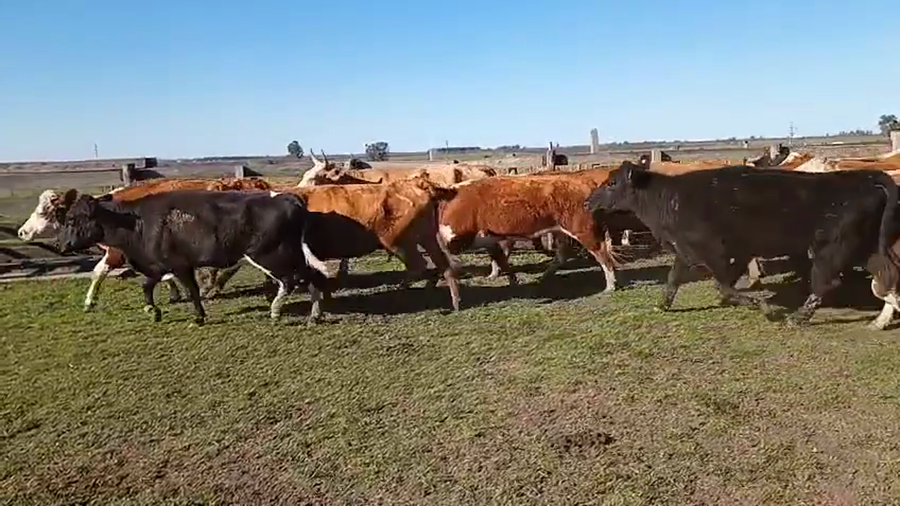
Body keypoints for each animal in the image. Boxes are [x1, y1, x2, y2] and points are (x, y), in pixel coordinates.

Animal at [17, 177, 273, 310]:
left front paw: (89, 301)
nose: (22, 232)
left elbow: (97, 272)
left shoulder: (117, 252)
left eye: (45, 211)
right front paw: (175, 293)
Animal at [55, 189, 328, 325]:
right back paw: (314, 315)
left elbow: (192, 291)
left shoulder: (180, 265)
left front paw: (198, 317)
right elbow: (147, 286)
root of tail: (288, 197)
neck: (138, 222)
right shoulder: (159, 265)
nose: (60, 244)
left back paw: (275, 311)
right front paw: (152, 310)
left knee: (292, 280)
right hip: (292, 254)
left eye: (72, 219)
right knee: (312, 276)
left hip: (272, 255)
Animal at [204, 174, 463, 312]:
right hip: (426, 238)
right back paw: (454, 300)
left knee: (419, 266)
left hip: (399, 242)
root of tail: (415, 183)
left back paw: (403, 291)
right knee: (443, 265)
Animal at [436, 168, 628, 291]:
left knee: (602, 254)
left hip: (583, 230)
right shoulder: (489, 239)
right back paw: (545, 276)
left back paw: (610, 286)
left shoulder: (457, 238)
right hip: (561, 231)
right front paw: (509, 279)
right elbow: (500, 258)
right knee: (564, 254)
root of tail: (582, 180)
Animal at [583, 161, 899, 327]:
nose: (587, 202)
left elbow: (722, 285)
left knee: (826, 283)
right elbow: (673, 280)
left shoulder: (718, 252)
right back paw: (880, 321)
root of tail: (867, 177)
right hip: (867, 248)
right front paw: (662, 306)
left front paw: (765, 308)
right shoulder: (686, 252)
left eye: (612, 183)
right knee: (888, 277)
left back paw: (797, 318)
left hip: (831, 248)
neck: (670, 200)